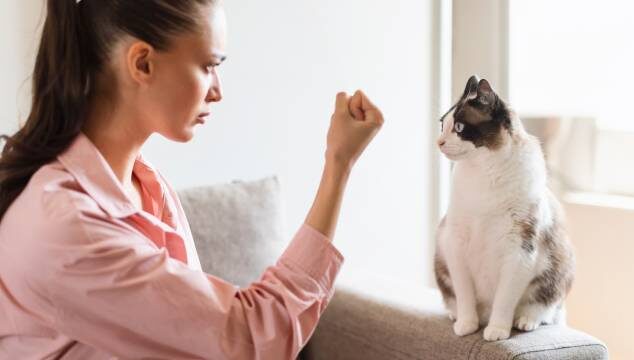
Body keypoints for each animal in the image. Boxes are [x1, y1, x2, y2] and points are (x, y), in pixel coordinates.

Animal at [432, 75, 576, 340]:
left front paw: (497, 330)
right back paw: (457, 316)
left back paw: (524, 321)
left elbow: (504, 300)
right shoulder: (455, 243)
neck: (483, 174)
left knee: (544, 310)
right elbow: (464, 295)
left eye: (459, 128)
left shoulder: (519, 251)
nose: (439, 142)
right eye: (442, 126)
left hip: (558, 273)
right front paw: (467, 325)